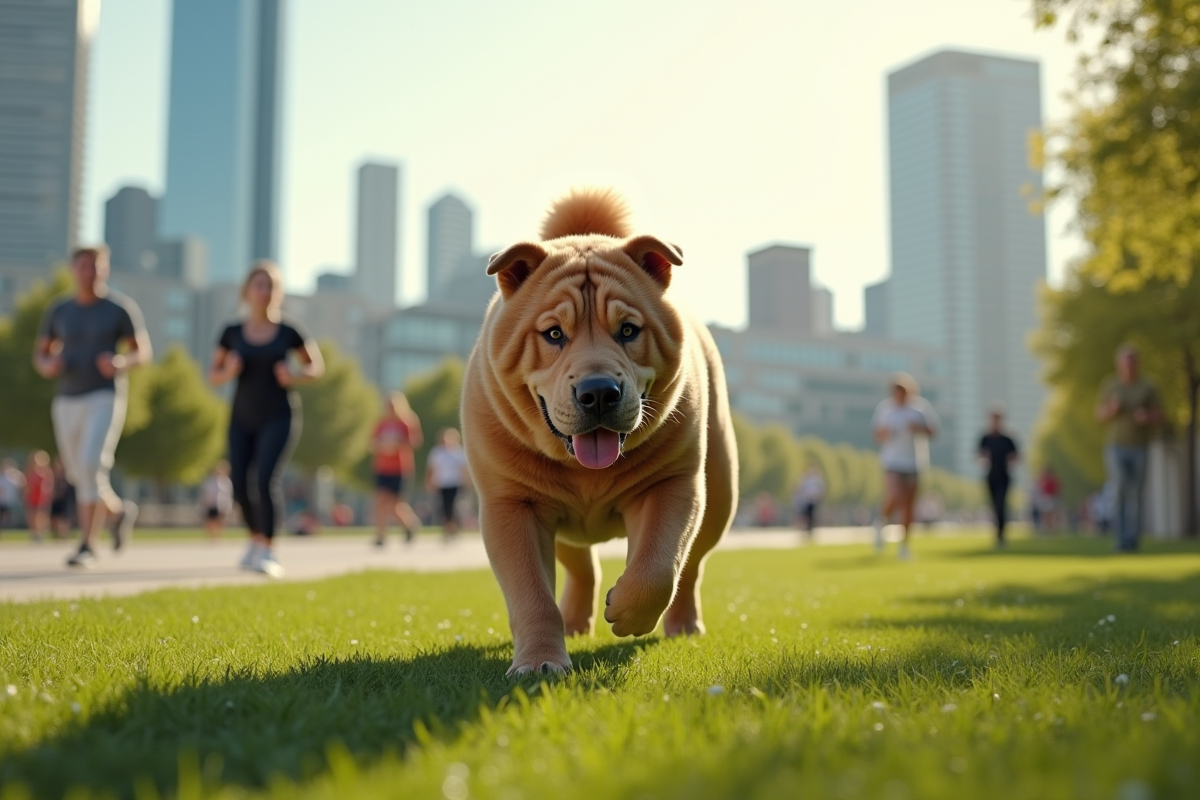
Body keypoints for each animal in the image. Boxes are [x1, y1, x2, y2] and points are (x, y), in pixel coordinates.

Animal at [460, 188, 734, 676]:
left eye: (628, 330)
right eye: (553, 334)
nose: (599, 391)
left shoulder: (673, 484)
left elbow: (657, 567)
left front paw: (624, 612)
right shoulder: (511, 505)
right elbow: (531, 595)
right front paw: (540, 663)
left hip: (720, 494)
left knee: (691, 565)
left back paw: (683, 625)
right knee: (580, 565)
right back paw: (573, 623)